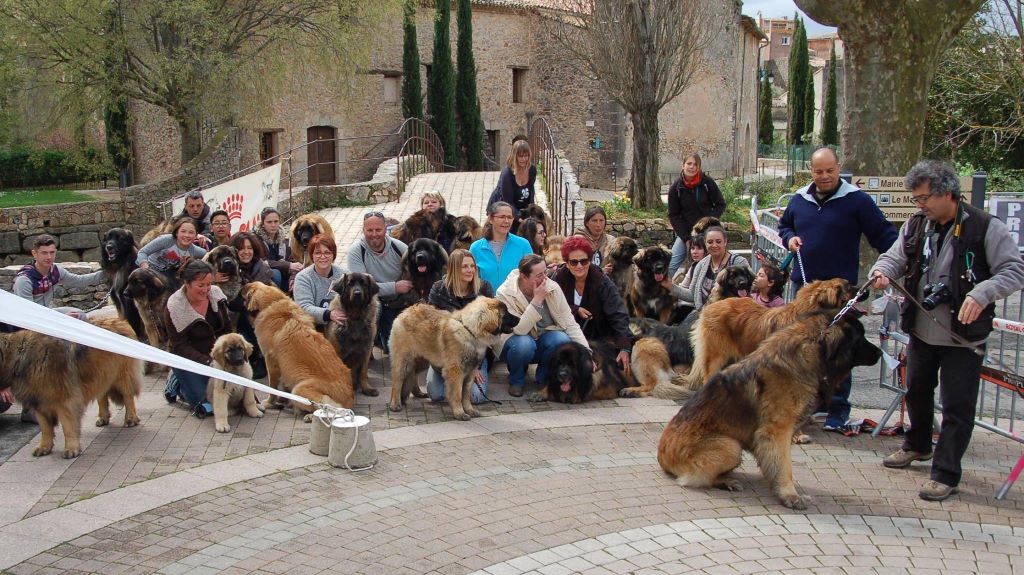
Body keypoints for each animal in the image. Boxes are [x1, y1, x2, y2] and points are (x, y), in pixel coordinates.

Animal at [241, 280, 354, 415]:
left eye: (249, 289)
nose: (242, 285)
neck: (273, 303)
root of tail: (349, 401)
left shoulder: (271, 362)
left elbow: (272, 387)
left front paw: (269, 402)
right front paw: (282, 399)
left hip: (299, 389)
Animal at [659, 308, 884, 505]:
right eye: (860, 338)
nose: (881, 352)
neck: (806, 355)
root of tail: (662, 457)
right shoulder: (777, 432)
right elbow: (784, 466)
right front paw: (789, 495)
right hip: (730, 446)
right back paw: (725, 481)